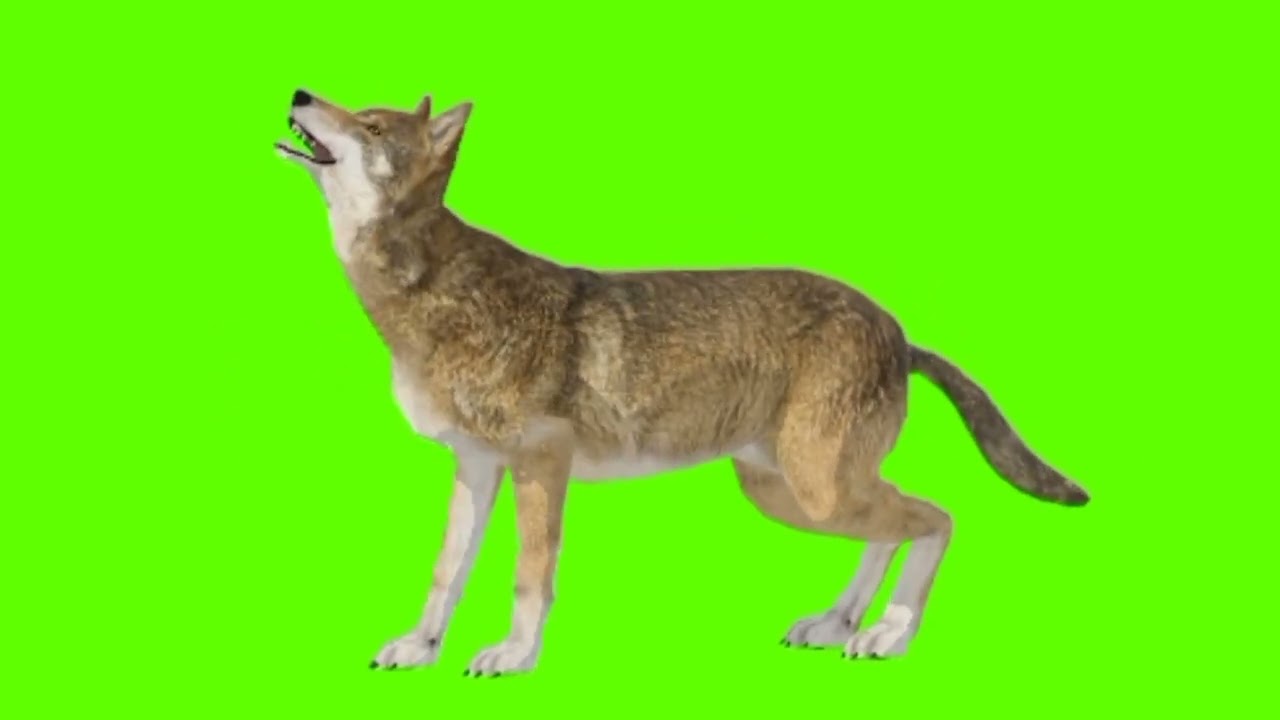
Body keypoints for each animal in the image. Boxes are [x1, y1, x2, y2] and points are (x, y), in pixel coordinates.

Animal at [276, 88, 1090, 677]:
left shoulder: (540, 465)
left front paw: (514, 656)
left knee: (935, 519)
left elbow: (529, 575)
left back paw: (889, 632)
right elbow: (447, 571)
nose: (300, 90)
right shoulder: (475, 466)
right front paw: (420, 647)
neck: (431, 293)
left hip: (815, 489)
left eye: (371, 126)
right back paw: (838, 623)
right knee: (890, 528)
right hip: (792, 493)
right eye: (357, 111)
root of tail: (899, 330)